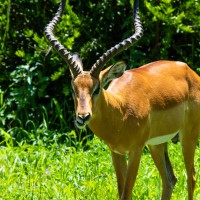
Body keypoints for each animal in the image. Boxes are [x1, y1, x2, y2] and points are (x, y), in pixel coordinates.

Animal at [45, 0, 200, 200]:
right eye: (73, 88)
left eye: (97, 88)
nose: (82, 116)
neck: (120, 111)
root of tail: (189, 71)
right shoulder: (116, 152)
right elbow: (121, 193)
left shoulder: (136, 150)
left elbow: (127, 193)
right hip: (157, 144)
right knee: (170, 178)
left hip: (188, 135)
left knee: (191, 176)